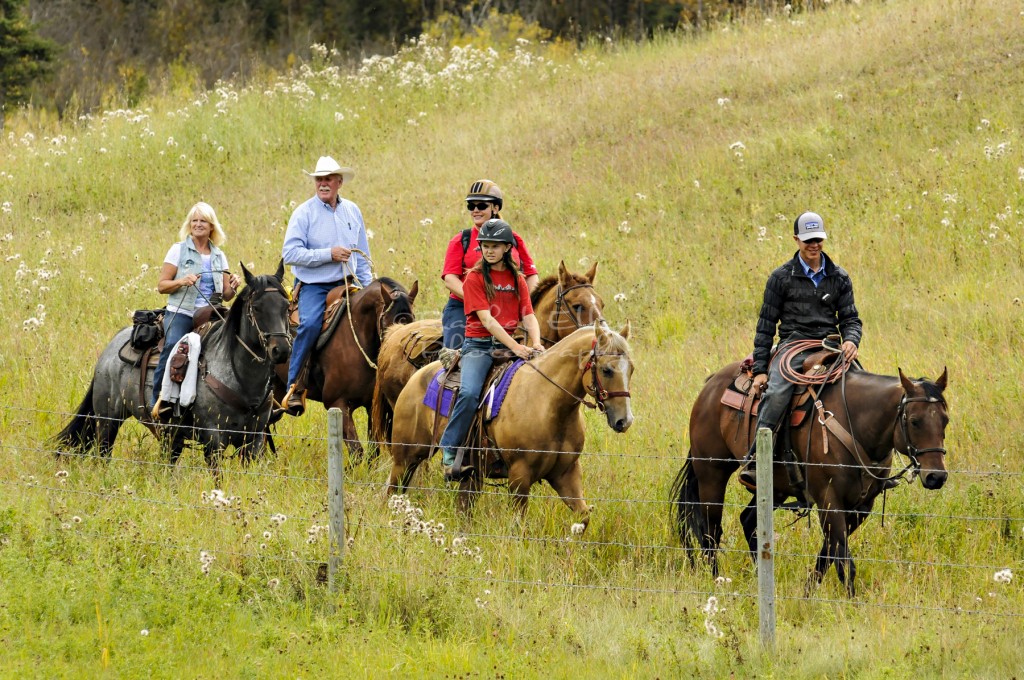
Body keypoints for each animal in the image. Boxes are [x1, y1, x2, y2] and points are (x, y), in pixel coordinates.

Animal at [56, 262, 292, 471]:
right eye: (257, 308)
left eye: (287, 307)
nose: (281, 349)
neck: (239, 379)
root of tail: (110, 347)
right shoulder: (213, 438)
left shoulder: (255, 439)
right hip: (108, 420)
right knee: (103, 453)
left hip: (169, 433)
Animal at [274, 274, 417, 458]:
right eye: (389, 326)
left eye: (412, 322)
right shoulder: (337, 403)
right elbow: (357, 451)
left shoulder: (372, 407)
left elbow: (373, 451)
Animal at [385, 321, 630, 532]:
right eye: (607, 370)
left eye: (632, 369)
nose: (624, 421)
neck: (547, 402)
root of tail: (415, 377)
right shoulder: (519, 477)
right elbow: (518, 526)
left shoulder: (566, 474)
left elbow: (584, 516)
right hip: (405, 458)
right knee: (392, 492)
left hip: (470, 476)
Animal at [671, 360, 950, 593]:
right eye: (914, 421)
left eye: (945, 420)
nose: (936, 477)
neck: (853, 423)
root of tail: (711, 385)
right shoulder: (828, 499)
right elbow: (843, 560)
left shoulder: (861, 506)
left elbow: (829, 554)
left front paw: (808, 593)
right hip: (712, 473)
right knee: (710, 531)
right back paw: (717, 580)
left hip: (773, 488)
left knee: (749, 522)